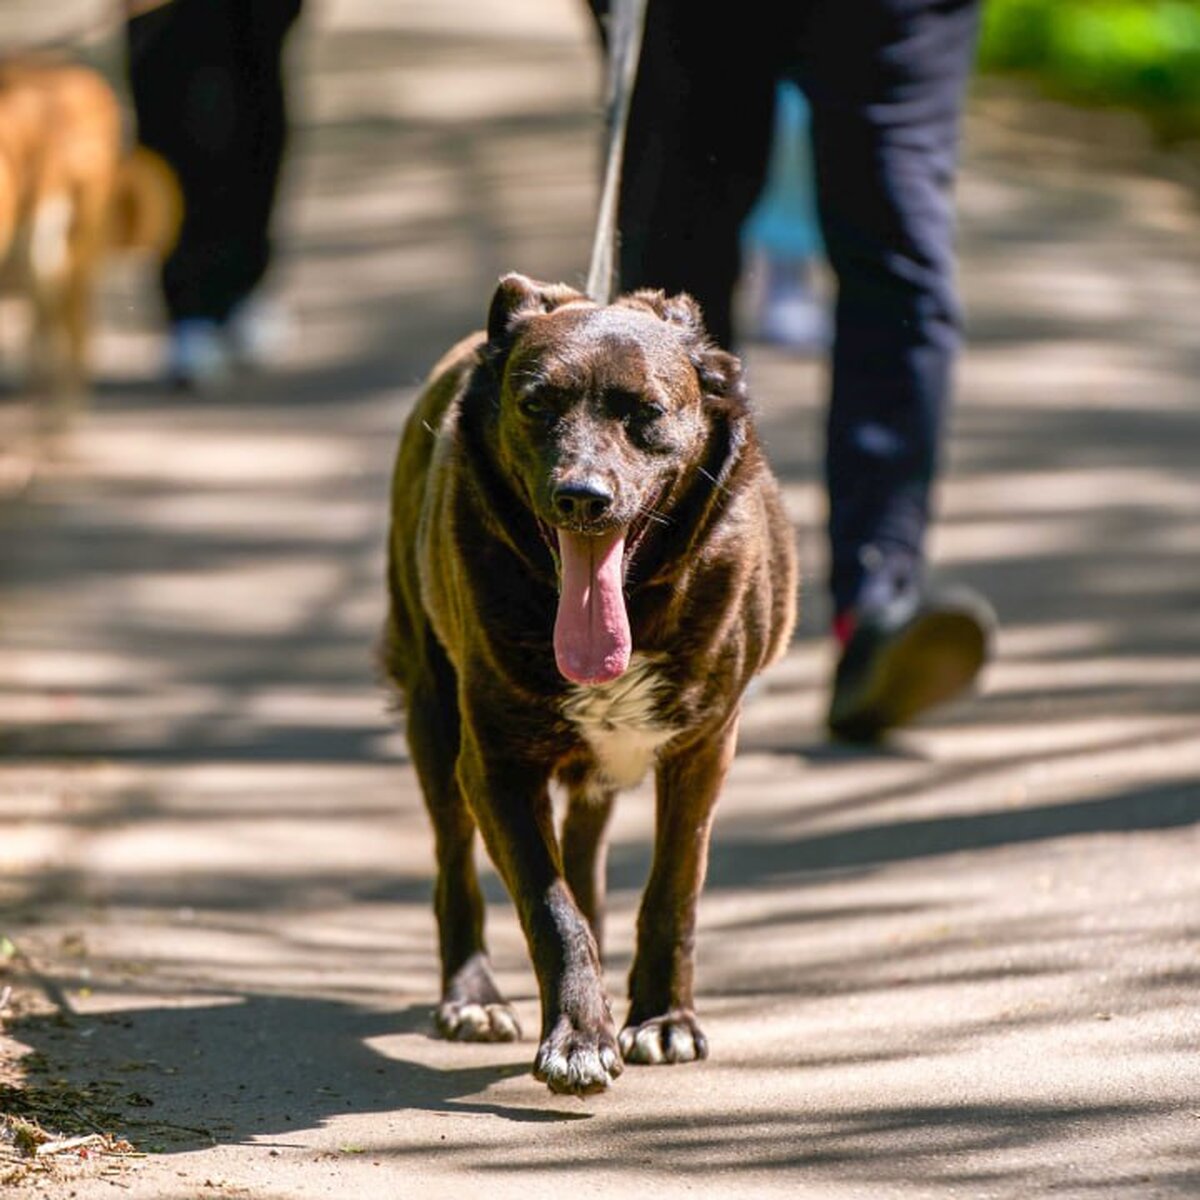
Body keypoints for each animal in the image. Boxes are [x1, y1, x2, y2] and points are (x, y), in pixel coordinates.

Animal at [384, 272, 796, 1099]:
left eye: (646, 412)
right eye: (536, 404)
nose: (581, 497)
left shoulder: (705, 749)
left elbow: (673, 889)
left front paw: (662, 1019)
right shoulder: (495, 765)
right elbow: (549, 907)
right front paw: (579, 1035)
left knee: (586, 851)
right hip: (433, 717)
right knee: (456, 864)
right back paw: (471, 995)